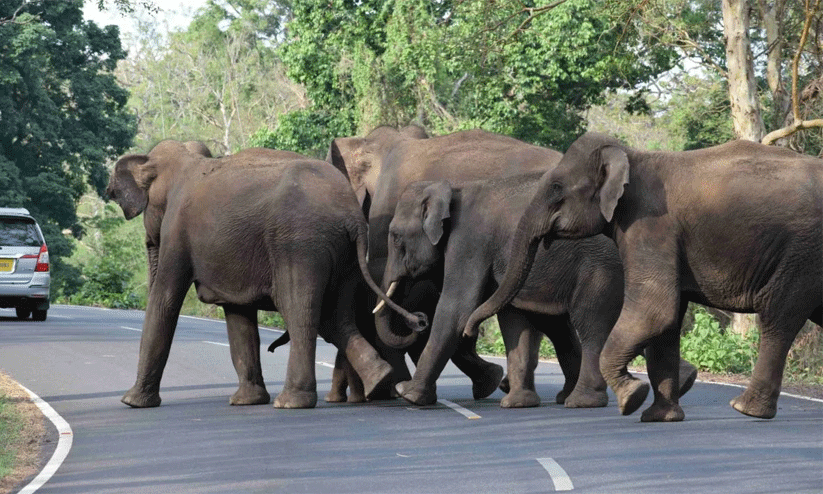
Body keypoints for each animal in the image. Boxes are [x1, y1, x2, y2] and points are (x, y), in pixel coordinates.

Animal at [106, 139, 424, 410]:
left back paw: (291, 402)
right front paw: (246, 401)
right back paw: (379, 380)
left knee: (299, 310)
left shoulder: (177, 231)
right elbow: (238, 316)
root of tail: (352, 217)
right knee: (336, 318)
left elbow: (165, 300)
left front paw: (132, 402)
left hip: (299, 244)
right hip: (343, 255)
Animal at [374, 176, 624, 408]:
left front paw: (409, 395)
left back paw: (583, 401)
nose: (419, 320)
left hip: (599, 270)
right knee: (559, 328)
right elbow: (513, 320)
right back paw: (564, 397)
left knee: (590, 325)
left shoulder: (469, 243)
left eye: (395, 236)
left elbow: (455, 309)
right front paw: (518, 404)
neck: (451, 188)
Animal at [466, 133, 820, 422]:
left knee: (777, 318)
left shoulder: (650, 224)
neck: (630, 156)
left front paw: (631, 399)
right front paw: (659, 417)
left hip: (802, 252)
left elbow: (654, 311)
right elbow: (668, 320)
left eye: (556, 188)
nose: (470, 330)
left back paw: (746, 409)